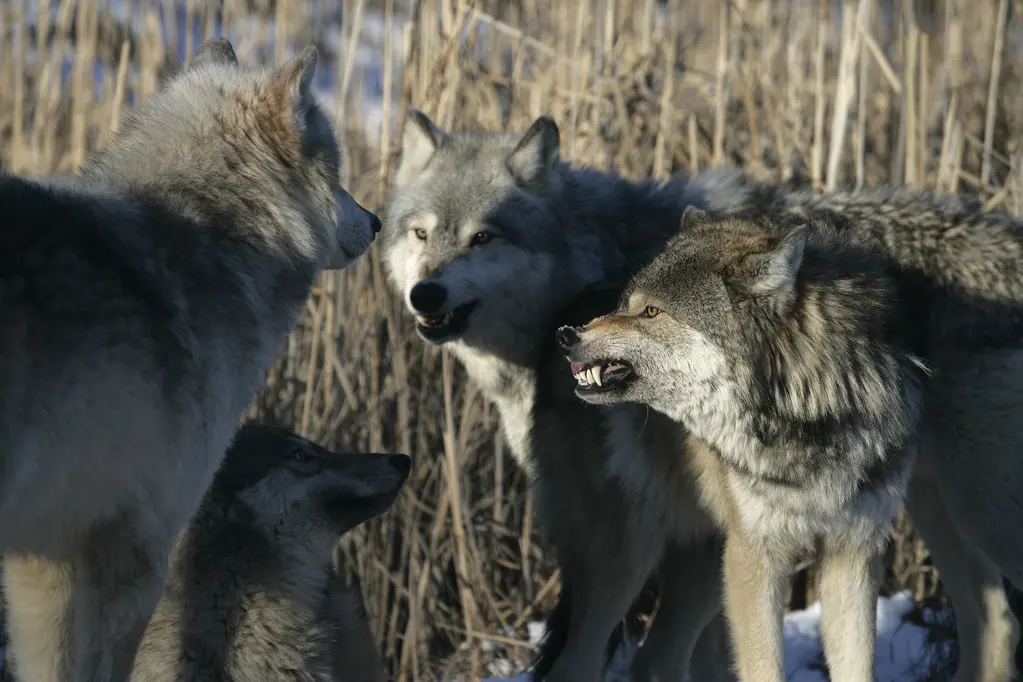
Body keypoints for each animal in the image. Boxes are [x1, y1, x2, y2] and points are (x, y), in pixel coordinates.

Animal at [564, 180, 1023, 682]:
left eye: (651, 312)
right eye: (626, 306)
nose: (568, 336)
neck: (815, 411)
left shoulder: (853, 553)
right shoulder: (755, 556)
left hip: (979, 515)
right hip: (633, 564)